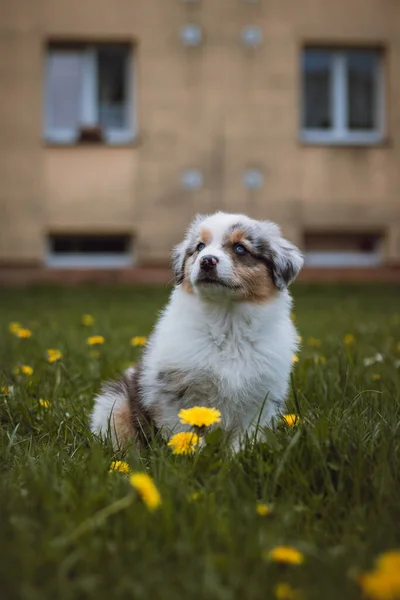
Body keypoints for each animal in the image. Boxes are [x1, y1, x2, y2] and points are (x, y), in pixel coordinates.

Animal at [90, 211, 304, 450]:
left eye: (240, 248)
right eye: (200, 246)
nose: (207, 260)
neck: (227, 323)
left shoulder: (260, 399)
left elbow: (244, 439)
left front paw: (236, 455)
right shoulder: (176, 391)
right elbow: (186, 431)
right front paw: (192, 453)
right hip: (114, 403)